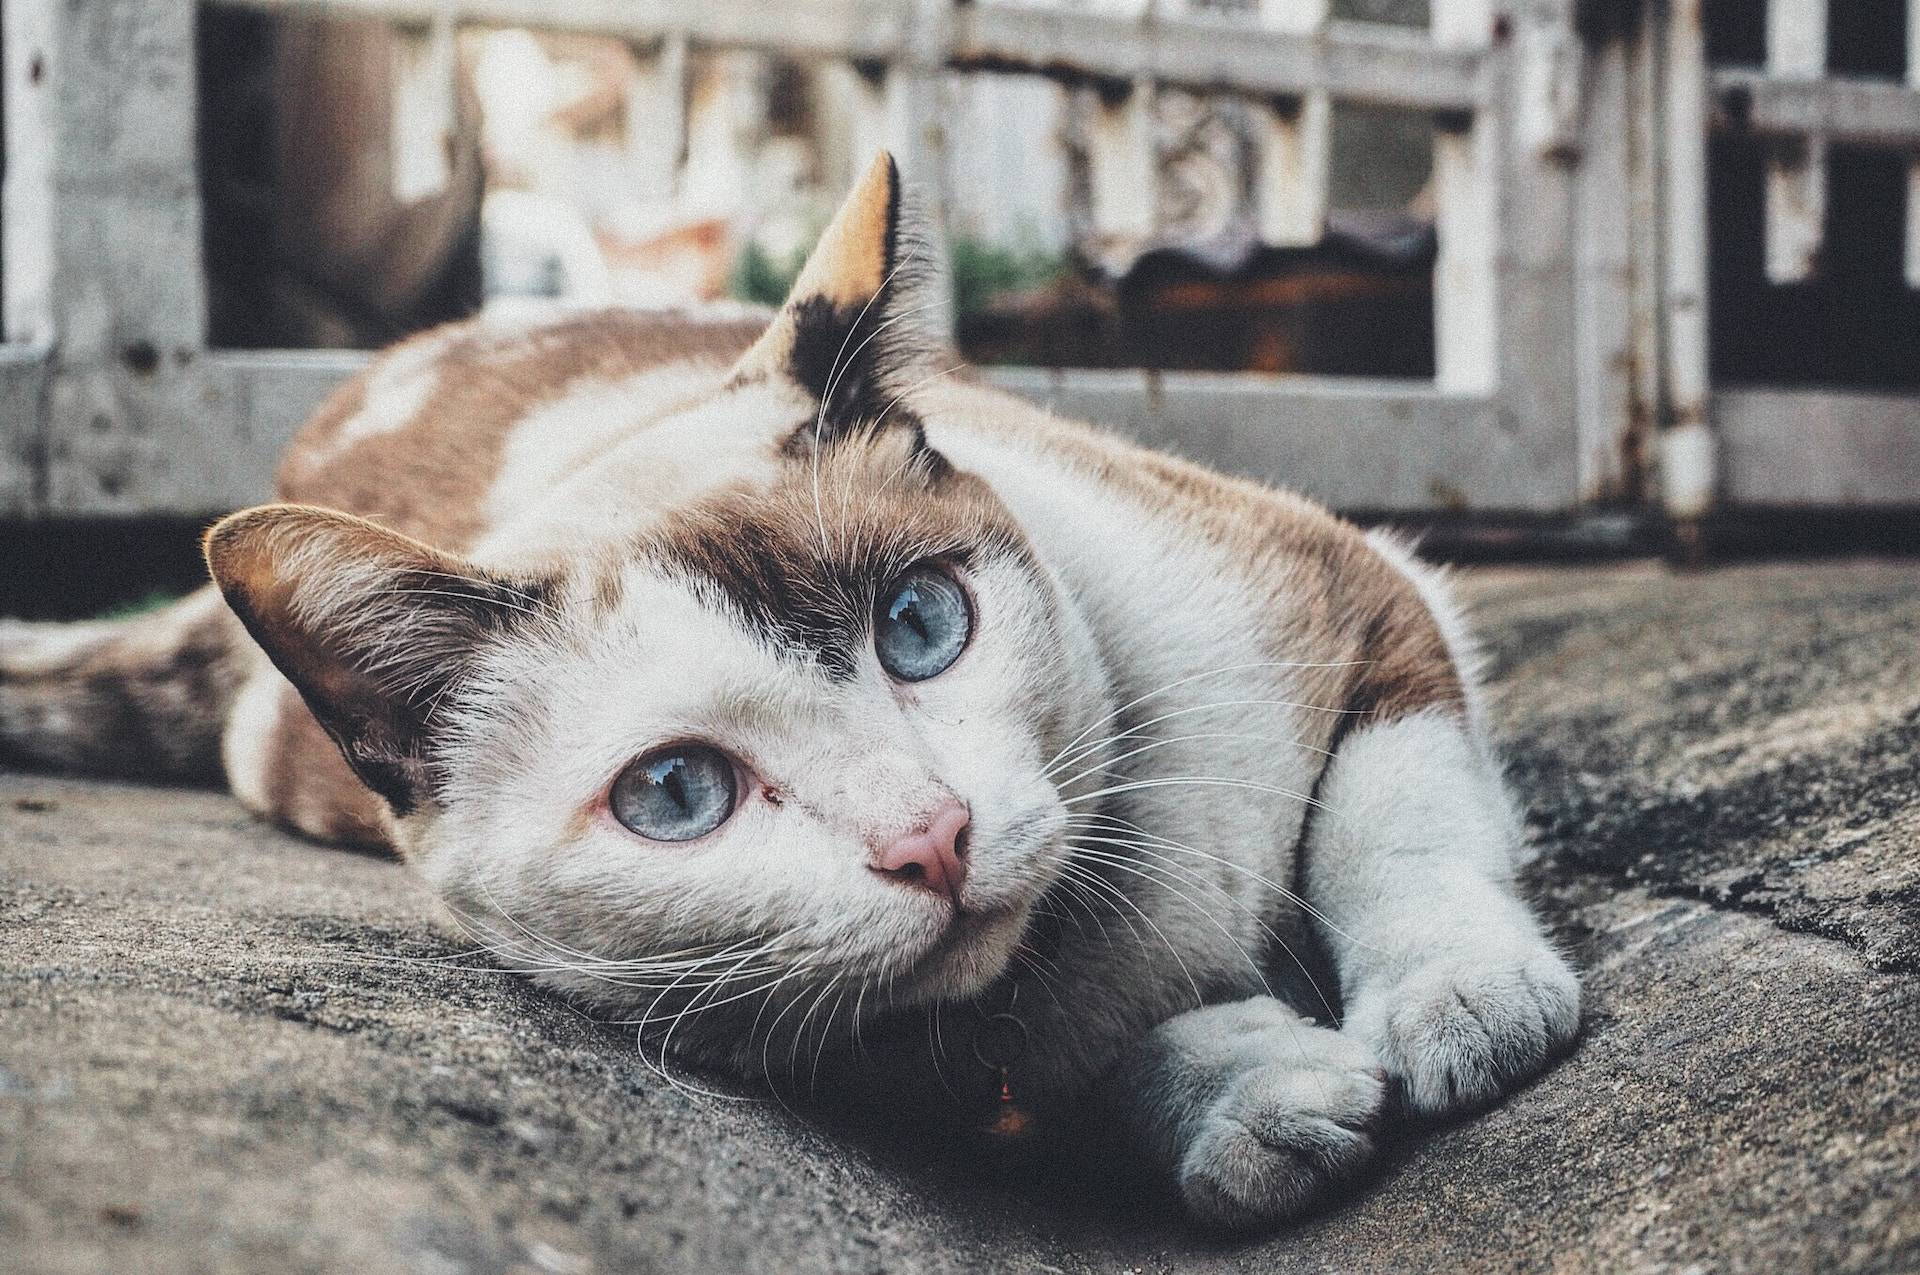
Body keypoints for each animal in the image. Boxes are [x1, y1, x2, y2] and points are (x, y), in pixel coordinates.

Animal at [3, 154, 1574, 1228]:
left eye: (922, 624)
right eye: (676, 792)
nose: (932, 839)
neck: (1094, 934)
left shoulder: (1348, 583)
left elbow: (1391, 818)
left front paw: (1457, 998)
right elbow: (1086, 1082)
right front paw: (1246, 1099)